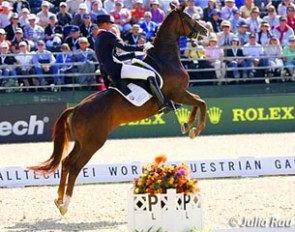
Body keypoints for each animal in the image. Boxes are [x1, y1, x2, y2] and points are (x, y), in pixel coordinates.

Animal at [27, 3, 208, 217]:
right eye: (188, 17)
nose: (205, 30)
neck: (165, 59)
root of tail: (76, 108)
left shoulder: (180, 94)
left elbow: (197, 102)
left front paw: (188, 125)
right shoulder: (178, 93)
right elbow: (201, 102)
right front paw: (195, 129)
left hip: (82, 142)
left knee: (66, 162)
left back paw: (59, 200)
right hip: (93, 143)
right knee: (75, 166)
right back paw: (65, 204)